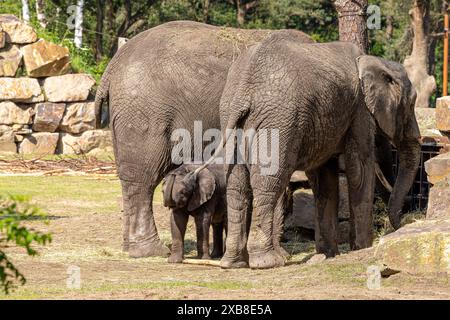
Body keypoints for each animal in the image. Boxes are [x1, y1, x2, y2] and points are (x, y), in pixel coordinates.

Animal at [209, 31, 420, 270]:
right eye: (411, 104)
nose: (400, 223)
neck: (375, 61)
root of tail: (244, 88)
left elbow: (324, 178)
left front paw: (328, 254)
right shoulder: (360, 110)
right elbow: (360, 167)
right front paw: (362, 248)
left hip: (230, 116)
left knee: (237, 185)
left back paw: (232, 263)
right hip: (278, 119)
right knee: (268, 181)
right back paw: (267, 261)